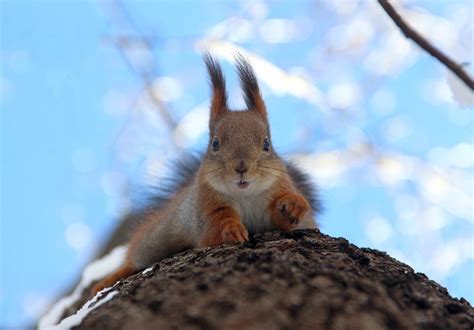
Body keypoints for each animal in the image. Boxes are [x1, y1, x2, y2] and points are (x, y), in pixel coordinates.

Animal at [91, 54, 322, 294]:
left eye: (266, 144)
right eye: (215, 143)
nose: (241, 167)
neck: (245, 195)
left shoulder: (280, 190)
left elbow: (285, 220)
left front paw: (294, 205)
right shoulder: (205, 208)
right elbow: (213, 228)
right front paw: (231, 229)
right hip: (156, 237)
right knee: (135, 258)